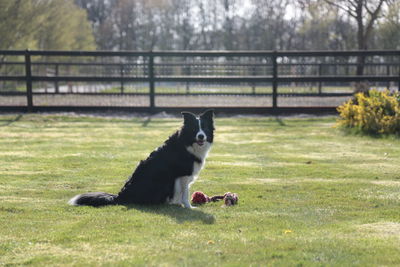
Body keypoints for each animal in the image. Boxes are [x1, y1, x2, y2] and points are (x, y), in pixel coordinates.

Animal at [68, 109, 216, 209]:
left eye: (205, 128)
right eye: (195, 129)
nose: (201, 136)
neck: (188, 143)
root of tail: (121, 196)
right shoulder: (182, 175)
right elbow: (184, 193)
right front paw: (188, 207)